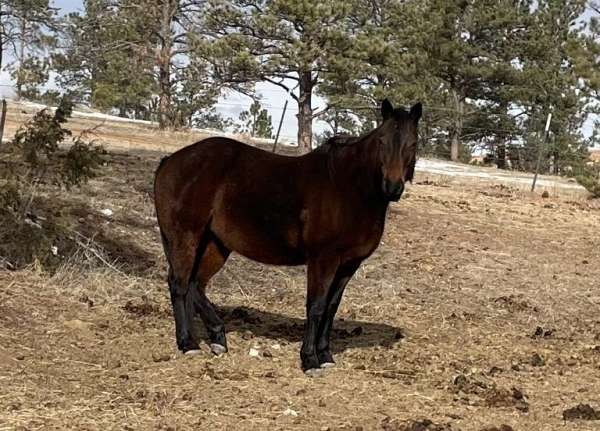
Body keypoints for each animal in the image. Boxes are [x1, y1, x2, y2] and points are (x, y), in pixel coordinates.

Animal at [154, 98, 422, 374]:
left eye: (413, 143)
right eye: (382, 141)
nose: (393, 187)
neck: (350, 189)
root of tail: (171, 160)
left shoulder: (349, 264)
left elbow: (331, 307)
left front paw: (325, 355)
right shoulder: (323, 259)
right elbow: (316, 306)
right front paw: (310, 359)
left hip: (214, 244)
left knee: (194, 284)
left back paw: (216, 337)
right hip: (186, 236)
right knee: (179, 284)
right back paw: (188, 343)